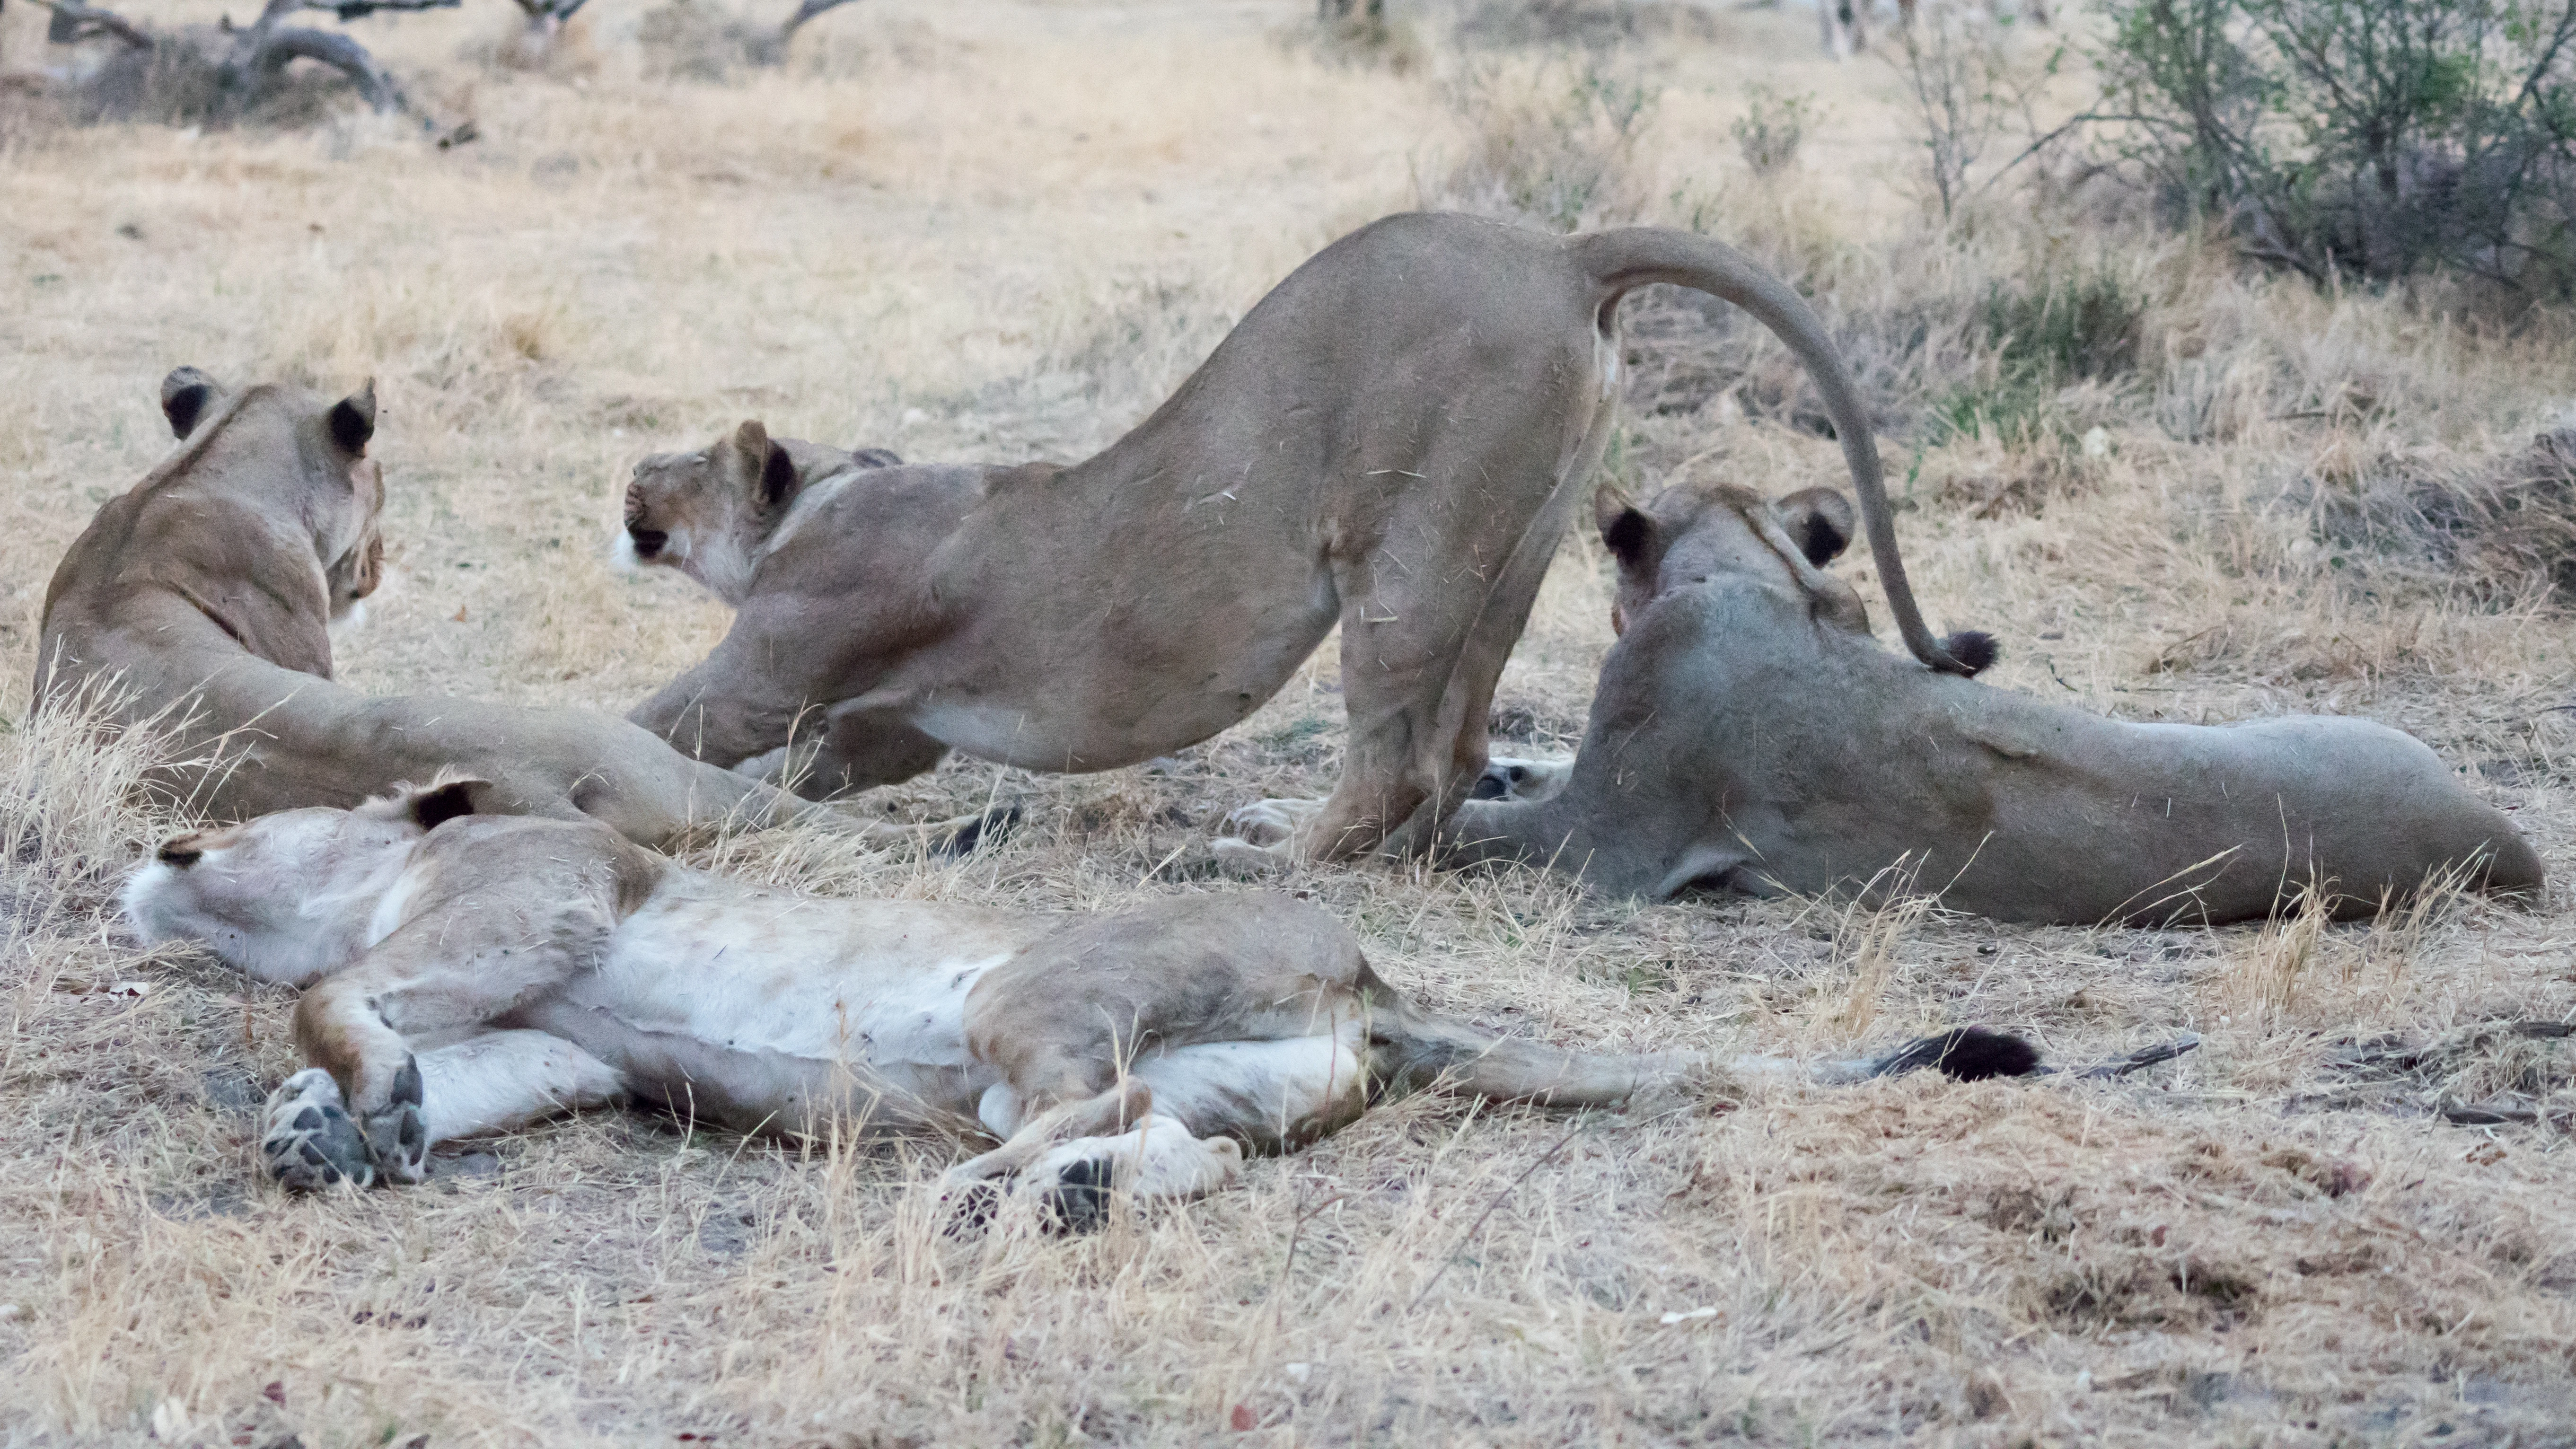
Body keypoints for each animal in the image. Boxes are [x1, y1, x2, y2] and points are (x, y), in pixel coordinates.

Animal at [37, 368, 990, 853]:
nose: (379, 566)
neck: (193, 473)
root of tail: (521, 791)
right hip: (669, 768)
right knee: (818, 821)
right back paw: (973, 828)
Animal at [617, 212, 1993, 862]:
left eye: (690, 458)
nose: (629, 471)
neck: (826, 498)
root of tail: (1560, 248)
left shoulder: (773, 664)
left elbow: (653, 718)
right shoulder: (880, 727)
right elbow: (810, 762)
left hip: (1399, 554)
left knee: (1390, 764)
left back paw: (1260, 858)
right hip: (1525, 536)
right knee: (1453, 754)